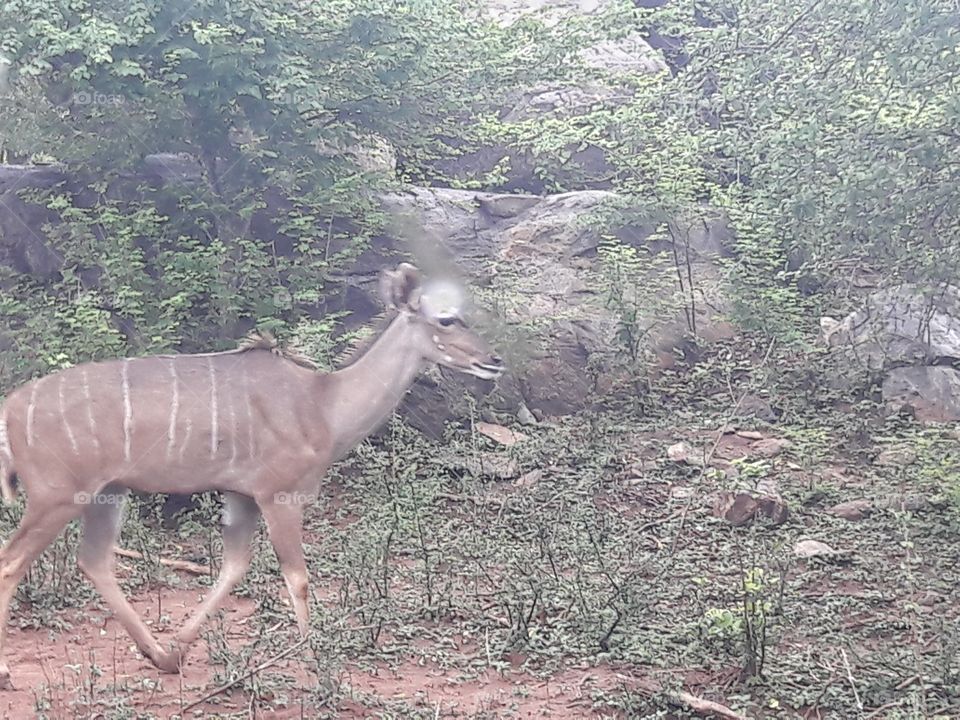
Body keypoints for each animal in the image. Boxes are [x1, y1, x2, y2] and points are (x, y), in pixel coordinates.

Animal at [0, 262, 503, 689]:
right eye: (447, 320)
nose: (493, 360)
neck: (324, 404)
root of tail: (10, 408)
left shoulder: (240, 495)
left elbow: (234, 566)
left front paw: (178, 650)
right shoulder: (280, 494)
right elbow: (297, 577)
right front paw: (320, 667)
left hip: (108, 493)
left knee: (93, 560)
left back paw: (156, 653)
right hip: (57, 495)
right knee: (13, 560)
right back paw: (7, 673)